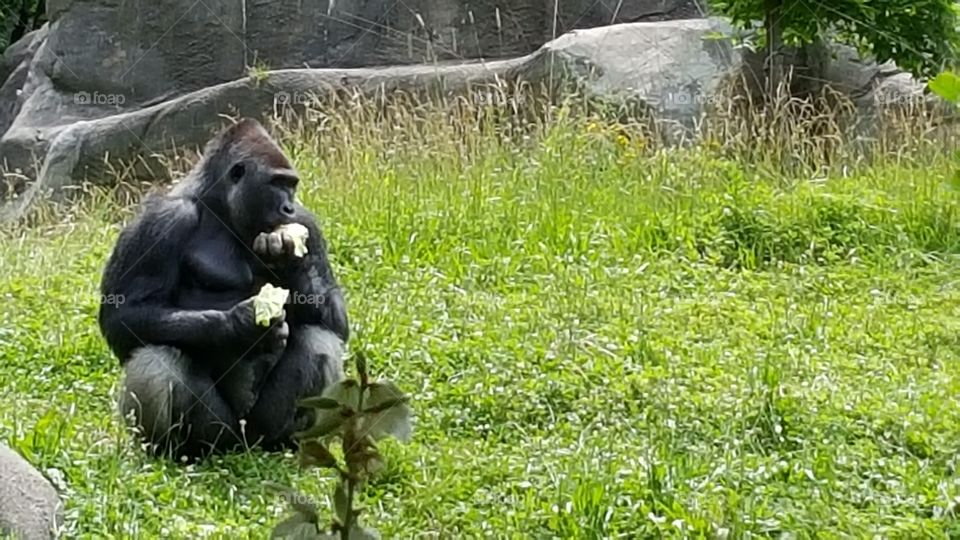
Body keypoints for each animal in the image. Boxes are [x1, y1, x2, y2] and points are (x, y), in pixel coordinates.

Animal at [97, 119, 350, 460]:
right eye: (276, 183)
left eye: (291, 185)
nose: (287, 207)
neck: (220, 207)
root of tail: (243, 445)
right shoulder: (160, 220)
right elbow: (122, 315)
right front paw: (241, 326)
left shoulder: (307, 221)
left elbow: (336, 318)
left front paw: (289, 259)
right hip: (220, 434)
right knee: (158, 359)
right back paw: (172, 451)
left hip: (258, 432)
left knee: (320, 341)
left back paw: (289, 440)